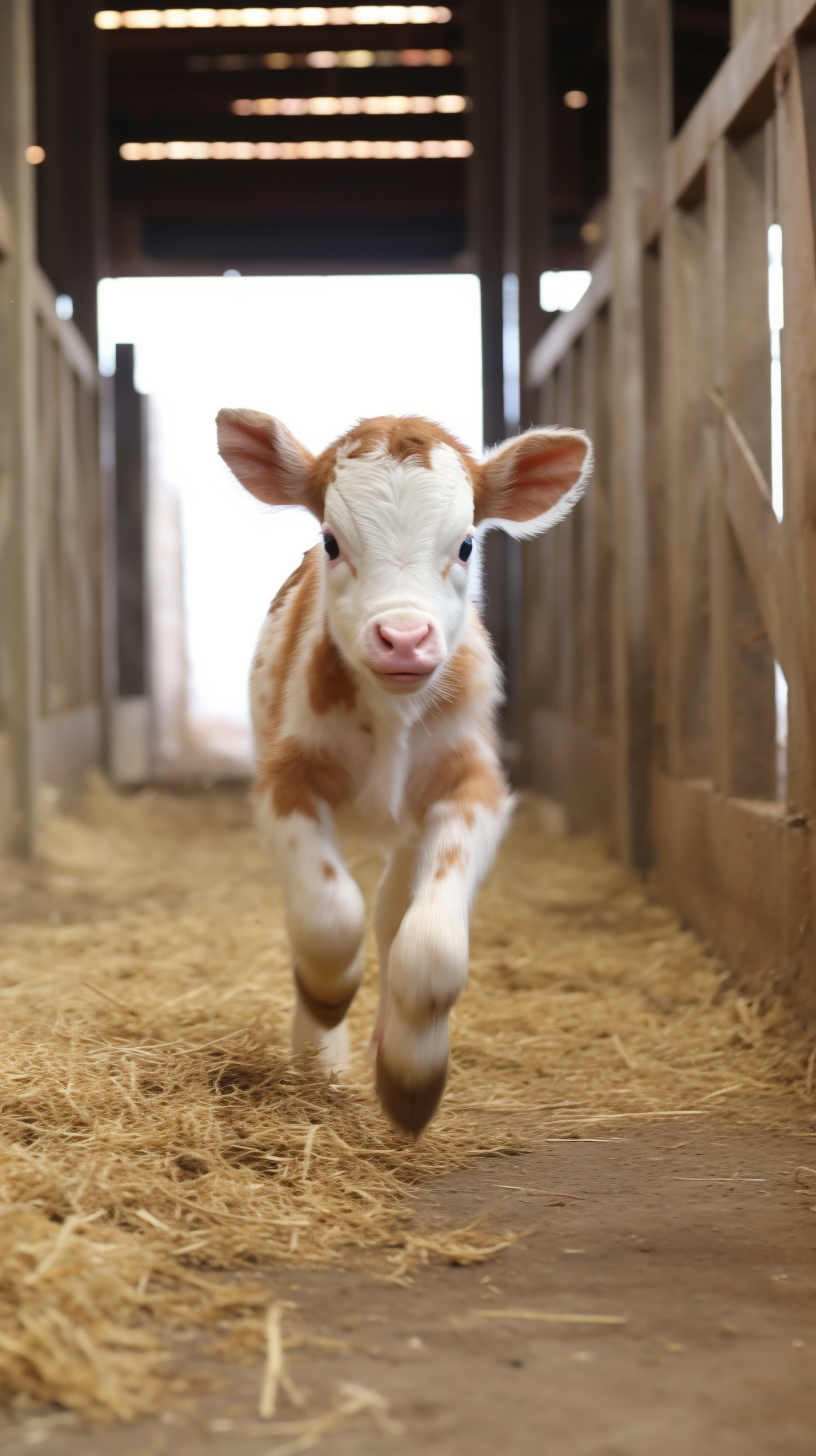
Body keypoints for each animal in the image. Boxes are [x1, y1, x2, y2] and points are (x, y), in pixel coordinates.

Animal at [217, 413, 591, 1135]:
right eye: (332, 542)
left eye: (467, 544)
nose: (404, 639)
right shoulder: (285, 780)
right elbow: (328, 916)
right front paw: (324, 1011)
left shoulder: (473, 786)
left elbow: (428, 945)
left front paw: (409, 1074)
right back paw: (320, 1058)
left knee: (394, 911)